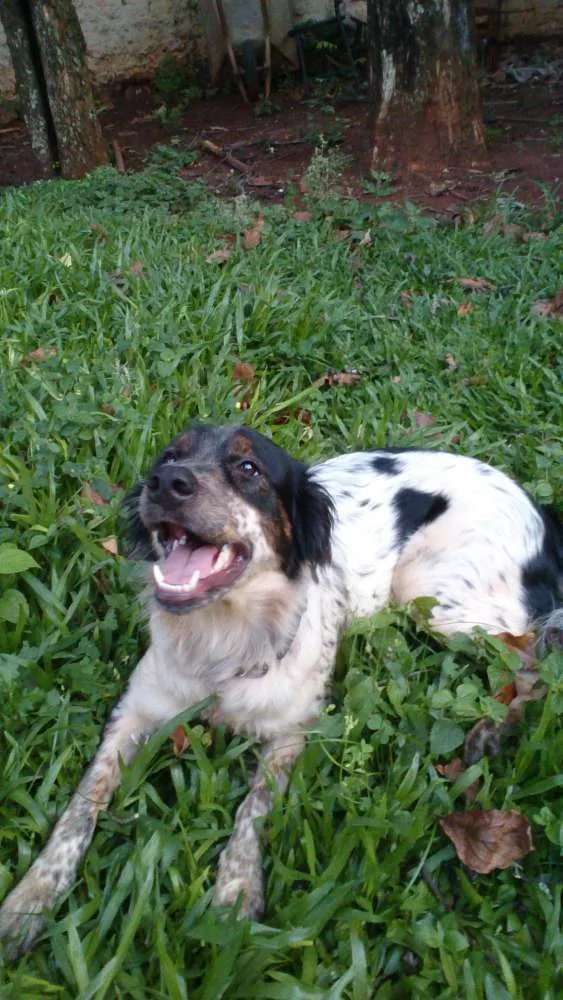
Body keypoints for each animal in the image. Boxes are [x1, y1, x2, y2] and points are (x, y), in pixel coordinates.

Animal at [1, 422, 563, 952]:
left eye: (248, 468)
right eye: (169, 455)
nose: (166, 482)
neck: (223, 641)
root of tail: (540, 510)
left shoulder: (292, 733)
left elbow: (253, 810)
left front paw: (235, 893)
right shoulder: (133, 713)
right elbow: (82, 804)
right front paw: (32, 897)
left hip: (433, 596)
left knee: (532, 656)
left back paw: (491, 730)